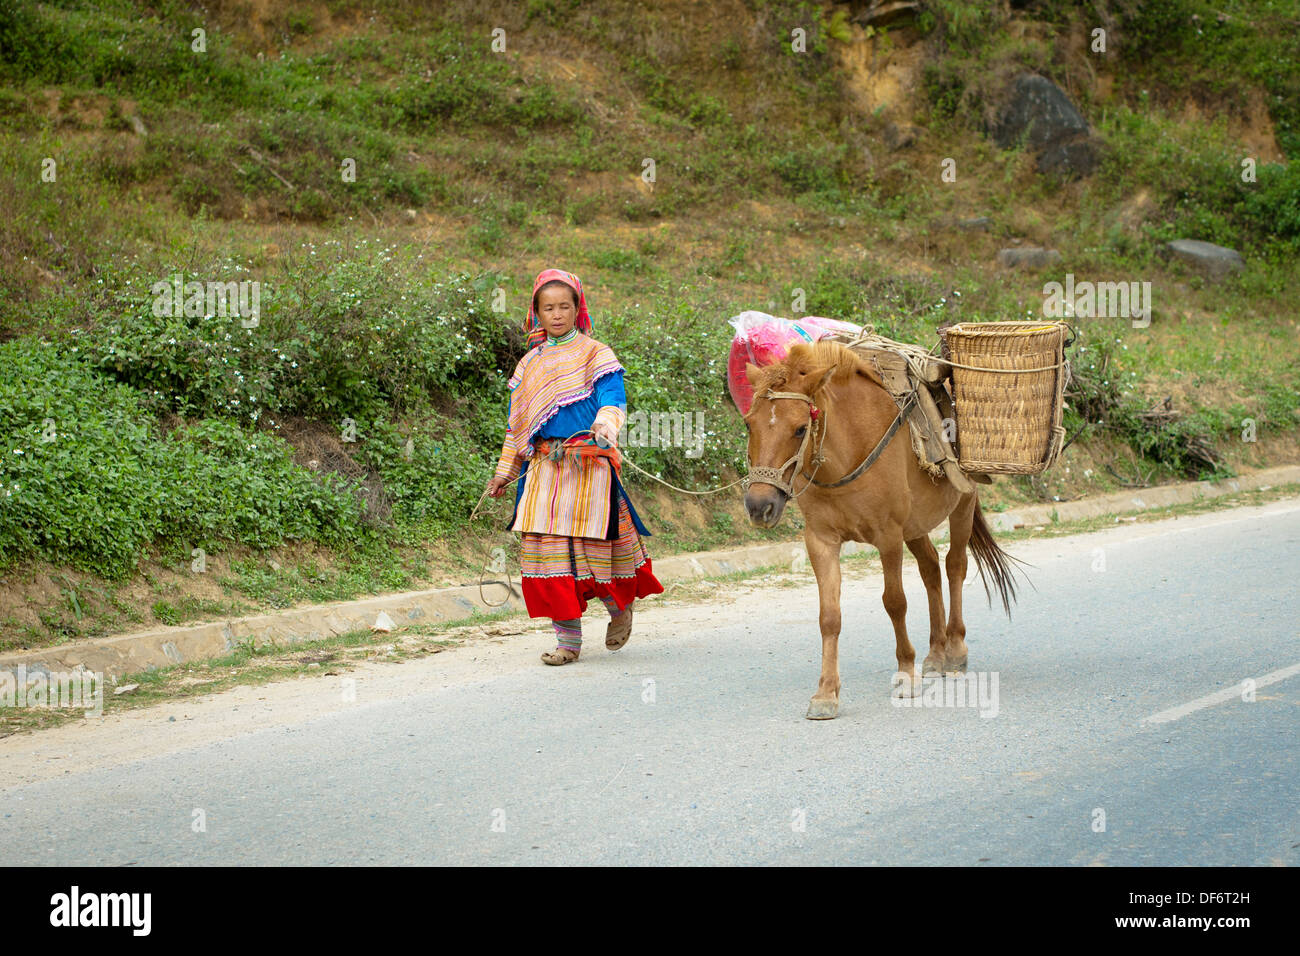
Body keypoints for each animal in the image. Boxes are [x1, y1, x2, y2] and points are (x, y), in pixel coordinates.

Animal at [743, 340, 1013, 723]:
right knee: (931, 569)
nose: (759, 506)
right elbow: (829, 616)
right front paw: (826, 693)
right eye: (749, 425)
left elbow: (895, 602)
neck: (850, 449)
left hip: (962, 506)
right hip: (915, 526)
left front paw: (905, 672)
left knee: (955, 566)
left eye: (799, 428)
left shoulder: (888, 537)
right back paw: (935, 653)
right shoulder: (820, 541)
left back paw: (955, 649)